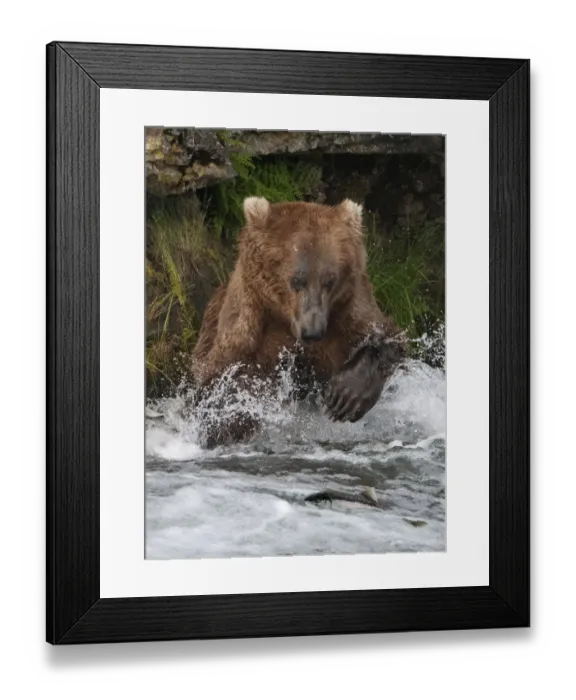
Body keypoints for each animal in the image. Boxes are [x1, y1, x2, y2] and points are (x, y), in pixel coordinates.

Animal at [191, 196, 406, 446]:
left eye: (330, 280)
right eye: (296, 280)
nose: (312, 331)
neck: (285, 320)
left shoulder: (348, 313)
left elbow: (385, 337)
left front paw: (345, 396)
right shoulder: (248, 329)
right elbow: (224, 381)